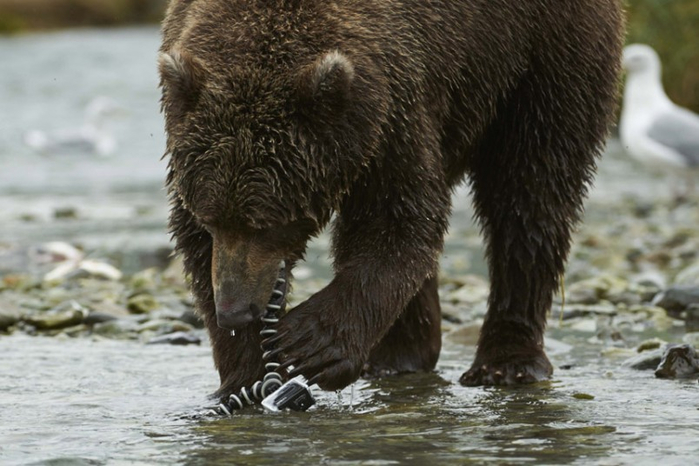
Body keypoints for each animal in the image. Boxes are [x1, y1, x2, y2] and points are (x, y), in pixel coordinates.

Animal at [159, 0, 624, 400]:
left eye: (266, 222)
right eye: (212, 218)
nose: (234, 311)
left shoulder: (392, 108)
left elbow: (396, 220)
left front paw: (312, 342)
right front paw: (246, 371)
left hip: (542, 53)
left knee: (531, 189)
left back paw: (507, 360)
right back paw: (400, 354)